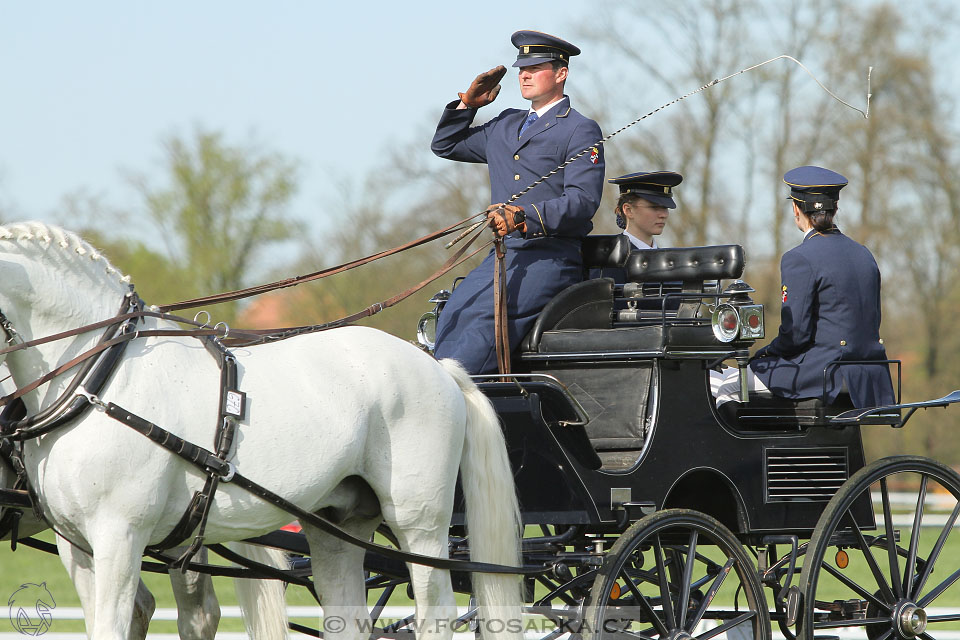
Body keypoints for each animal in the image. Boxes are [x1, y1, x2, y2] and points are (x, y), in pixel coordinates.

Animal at [0, 222, 520, 636]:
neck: (100, 378)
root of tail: (435, 366)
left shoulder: (120, 536)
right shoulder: (78, 545)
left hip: (420, 523)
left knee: (436, 612)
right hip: (337, 524)